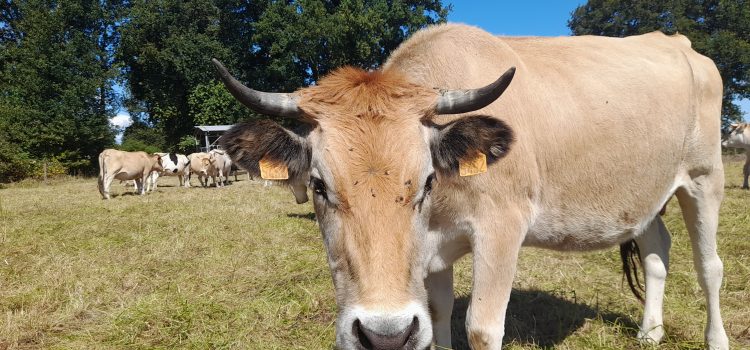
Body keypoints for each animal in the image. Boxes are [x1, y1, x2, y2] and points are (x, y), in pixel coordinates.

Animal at [214, 22, 732, 350]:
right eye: (319, 185)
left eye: (426, 180)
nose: (382, 334)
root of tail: (678, 42)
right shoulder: (431, 253)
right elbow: (436, 316)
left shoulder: (502, 226)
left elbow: (482, 328)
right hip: (645, 195)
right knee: (656, 250)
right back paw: (650, 332)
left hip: (704, 178)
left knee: (710, 266)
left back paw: (717, 339)